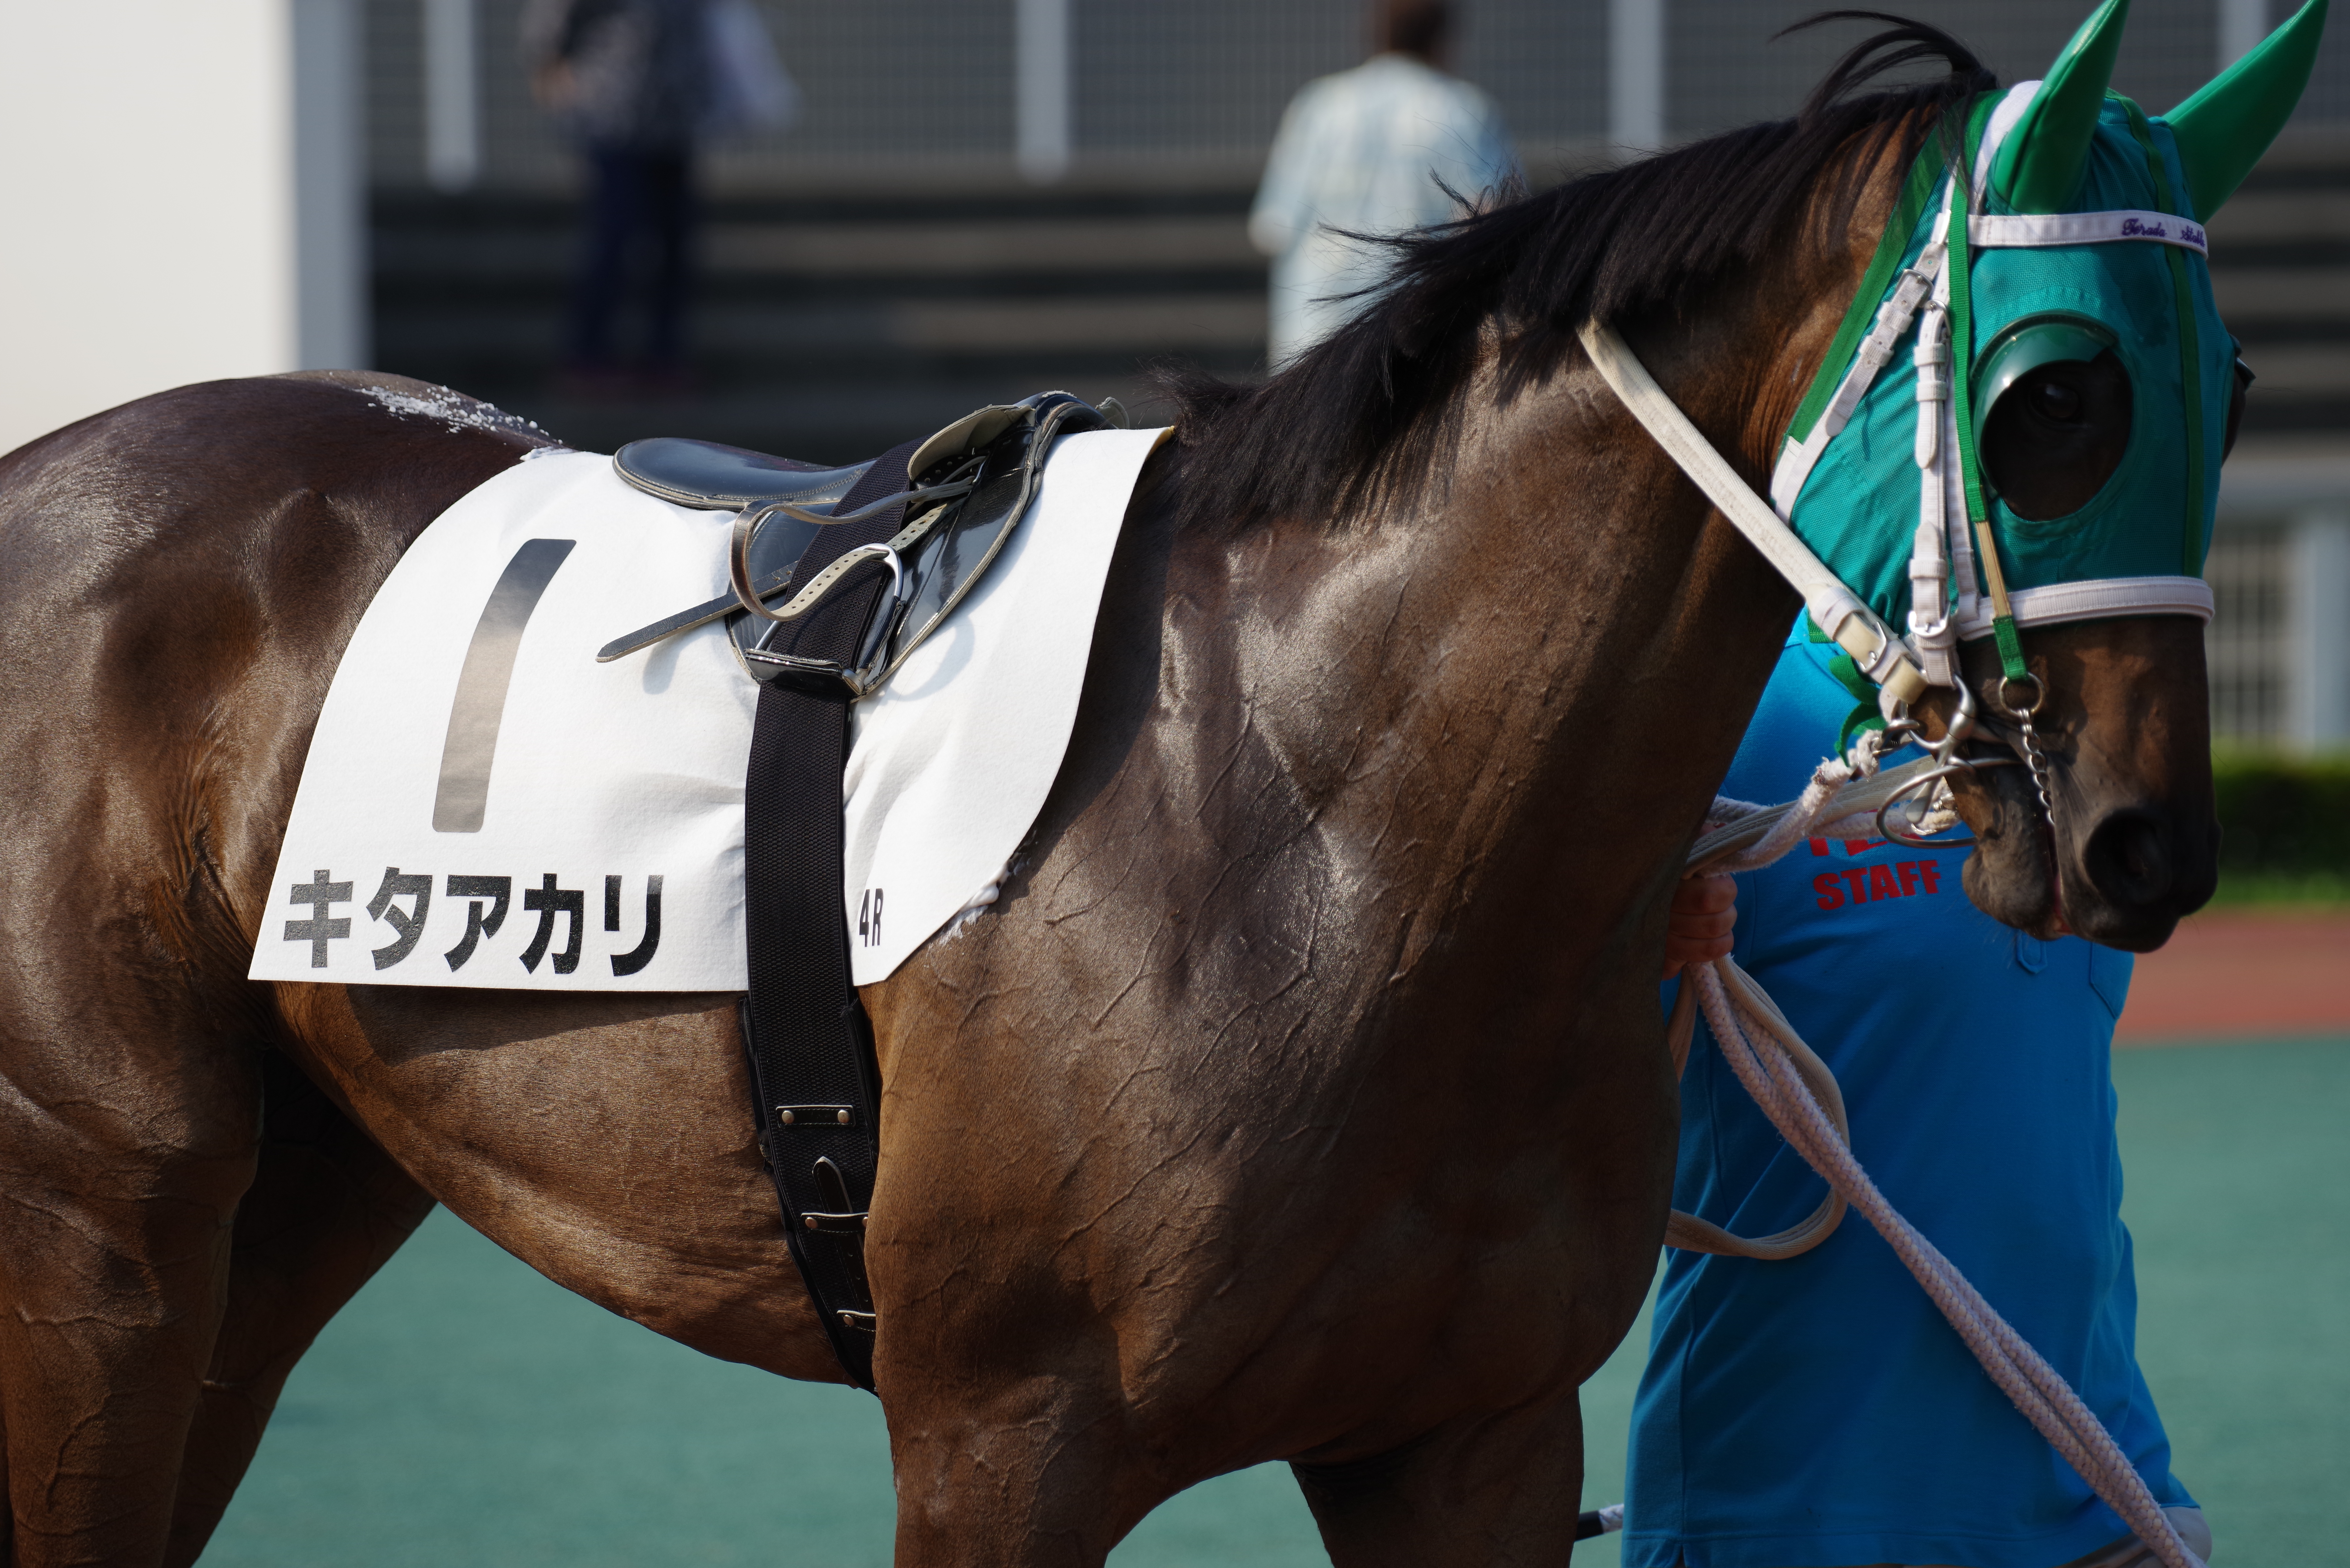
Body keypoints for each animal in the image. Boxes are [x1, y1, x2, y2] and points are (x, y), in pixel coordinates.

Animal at [0, 20, 2237, 1567]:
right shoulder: (1000, 1443)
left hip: (295, 1199)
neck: (1333, 829)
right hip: (106, 1227)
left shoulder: (1474, 1438)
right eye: (2051, 395)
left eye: (2223, 394)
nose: (2144, 838)